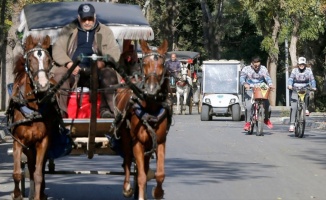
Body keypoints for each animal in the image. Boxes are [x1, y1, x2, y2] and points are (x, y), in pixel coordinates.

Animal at [7, 34, 59, 200]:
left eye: (49, 60)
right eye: (30, 60)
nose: (43, 85)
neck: (33, 109)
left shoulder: (43, 141)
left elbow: (38, 174)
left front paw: (38, 195)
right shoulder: (18, 142)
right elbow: (17, 173)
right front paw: (17, 195)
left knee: (37, 169)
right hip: (28, 147)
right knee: (29, 165)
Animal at [114, 39, 171, 198]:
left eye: (162, 64)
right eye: (144, 63)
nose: (151, 89)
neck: (150, 106)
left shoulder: (160, 141)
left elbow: (160, 174)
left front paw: (158, 192)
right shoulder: (137, 142)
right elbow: (140, 177)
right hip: (126, 136)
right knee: (128, 159)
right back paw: (127, 187)